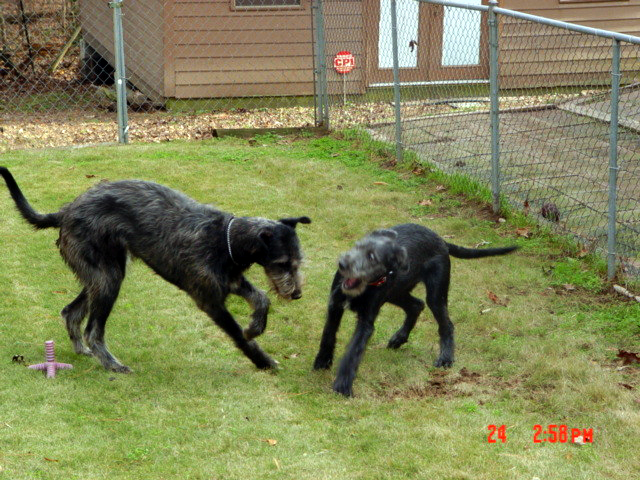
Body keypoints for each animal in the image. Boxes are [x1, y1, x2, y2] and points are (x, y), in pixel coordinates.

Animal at [0, 167, 310, 374]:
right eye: (283, 263)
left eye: (298, 261)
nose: (296, 294)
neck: (226, 240)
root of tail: (66, 210)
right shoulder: (210, 300)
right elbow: (237, 335)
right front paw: (262, 359)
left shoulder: (231, 280)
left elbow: (262, 298)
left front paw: (256, 326)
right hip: (108, 278)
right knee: (93, 330)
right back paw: (111, 364)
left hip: (103, 274)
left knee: (71, 311)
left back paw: (82, 350)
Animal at [312, 223, 516, 396]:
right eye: (356, 247)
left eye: (372, 257)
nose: (342, 264)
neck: (365, 287)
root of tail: (440, 240)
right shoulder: (335, 306)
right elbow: (328, 334)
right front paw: (322, 361)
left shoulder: (366, 322)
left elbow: (353, 351)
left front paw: (343, 385)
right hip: (397, 292)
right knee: (416, 305)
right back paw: (399, 338)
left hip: (435, 294)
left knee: (445, 323)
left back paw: (446, 358)